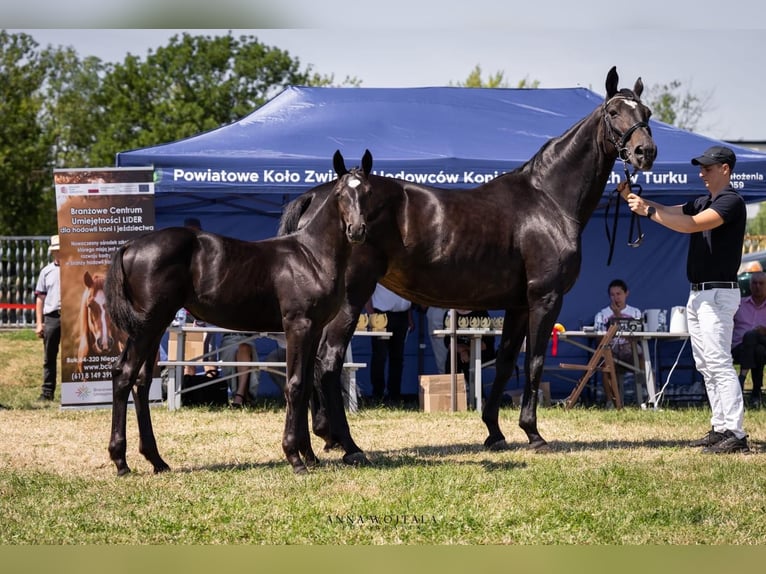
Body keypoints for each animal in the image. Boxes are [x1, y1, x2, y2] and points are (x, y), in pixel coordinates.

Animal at [105, 150, 372, 475]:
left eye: (368, 191)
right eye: (340, 194)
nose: (357, 230)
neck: (310, 256)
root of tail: (131, 245)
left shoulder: (315, 330)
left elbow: (306, 384)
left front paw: (309, 455)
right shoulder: (299, 326)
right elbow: (295, 385)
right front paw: (294, 457)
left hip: (155, 326)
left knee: (141, 382)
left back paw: (156, 460)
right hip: (147, 325)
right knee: (124, 374)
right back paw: (121, 461)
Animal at [279, 67, 657, 465]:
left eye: (645, 112)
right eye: (614, 112)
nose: (645, 152)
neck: (548, 200)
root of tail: (318, 195)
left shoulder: (518, 305)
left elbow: (506, 362)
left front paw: (495, 431)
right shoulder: (546, 297)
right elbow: (535, 361)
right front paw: (533, 434)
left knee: (310, 365)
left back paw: (322, 440)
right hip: (352, 299)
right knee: (328, 363)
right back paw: (349, 446)